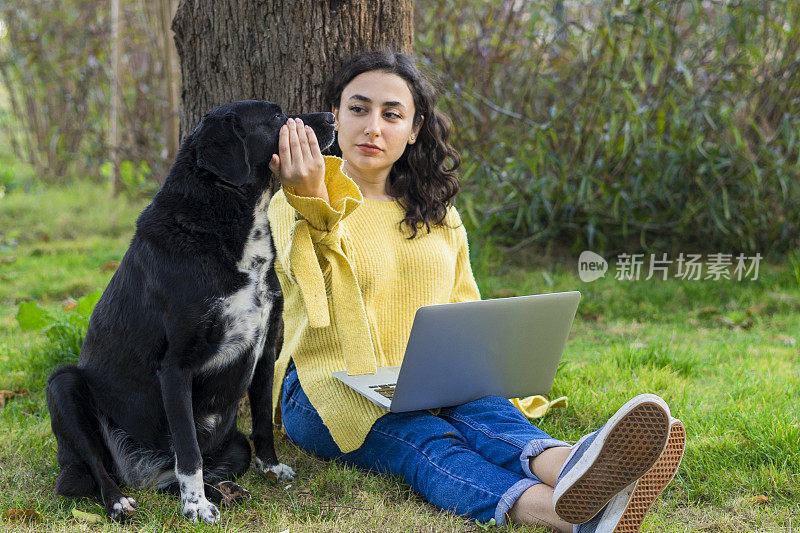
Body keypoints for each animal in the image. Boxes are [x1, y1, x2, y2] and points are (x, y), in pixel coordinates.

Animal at [47, 101, 334, 524]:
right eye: (276, 116)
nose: (332, 117)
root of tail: (138, 471)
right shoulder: (175, 367)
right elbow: (188, 450)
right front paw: (195, 505)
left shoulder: (267, 349)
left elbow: (263, 422)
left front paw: (270, 467)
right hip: (63, 385)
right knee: (102, 467)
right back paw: (120, 501)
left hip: (231, 446)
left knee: (189, 471)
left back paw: (227, 490)